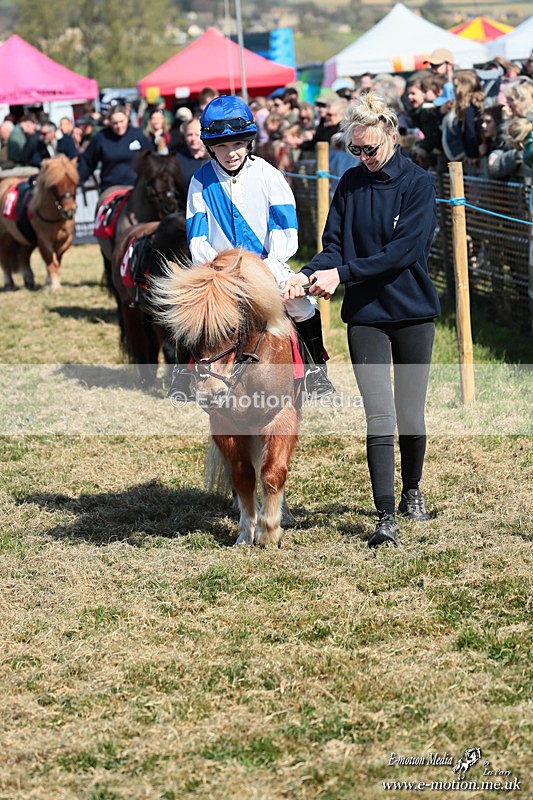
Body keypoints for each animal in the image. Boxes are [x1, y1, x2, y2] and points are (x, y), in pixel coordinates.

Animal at [0, 154, 78, 290]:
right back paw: (8, 283)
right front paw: (55, 286)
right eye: (53, 186)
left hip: (25, 239)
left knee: (23, 256)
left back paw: (29, 281)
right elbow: (51, 261)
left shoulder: (66, 239)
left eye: (74, 183)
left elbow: (57, 259)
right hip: (5, 238)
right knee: (5, 259)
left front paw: (49, 282)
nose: (69, 211)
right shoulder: (43, 240)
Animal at [151, 248, 300, 548]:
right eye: (187, 335)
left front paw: (269, 531)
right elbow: (243, 475)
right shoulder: (225, 423)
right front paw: (247, 531)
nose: (210, 394)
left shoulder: (280, 416)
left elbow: (273, 471)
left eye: (232, 328)